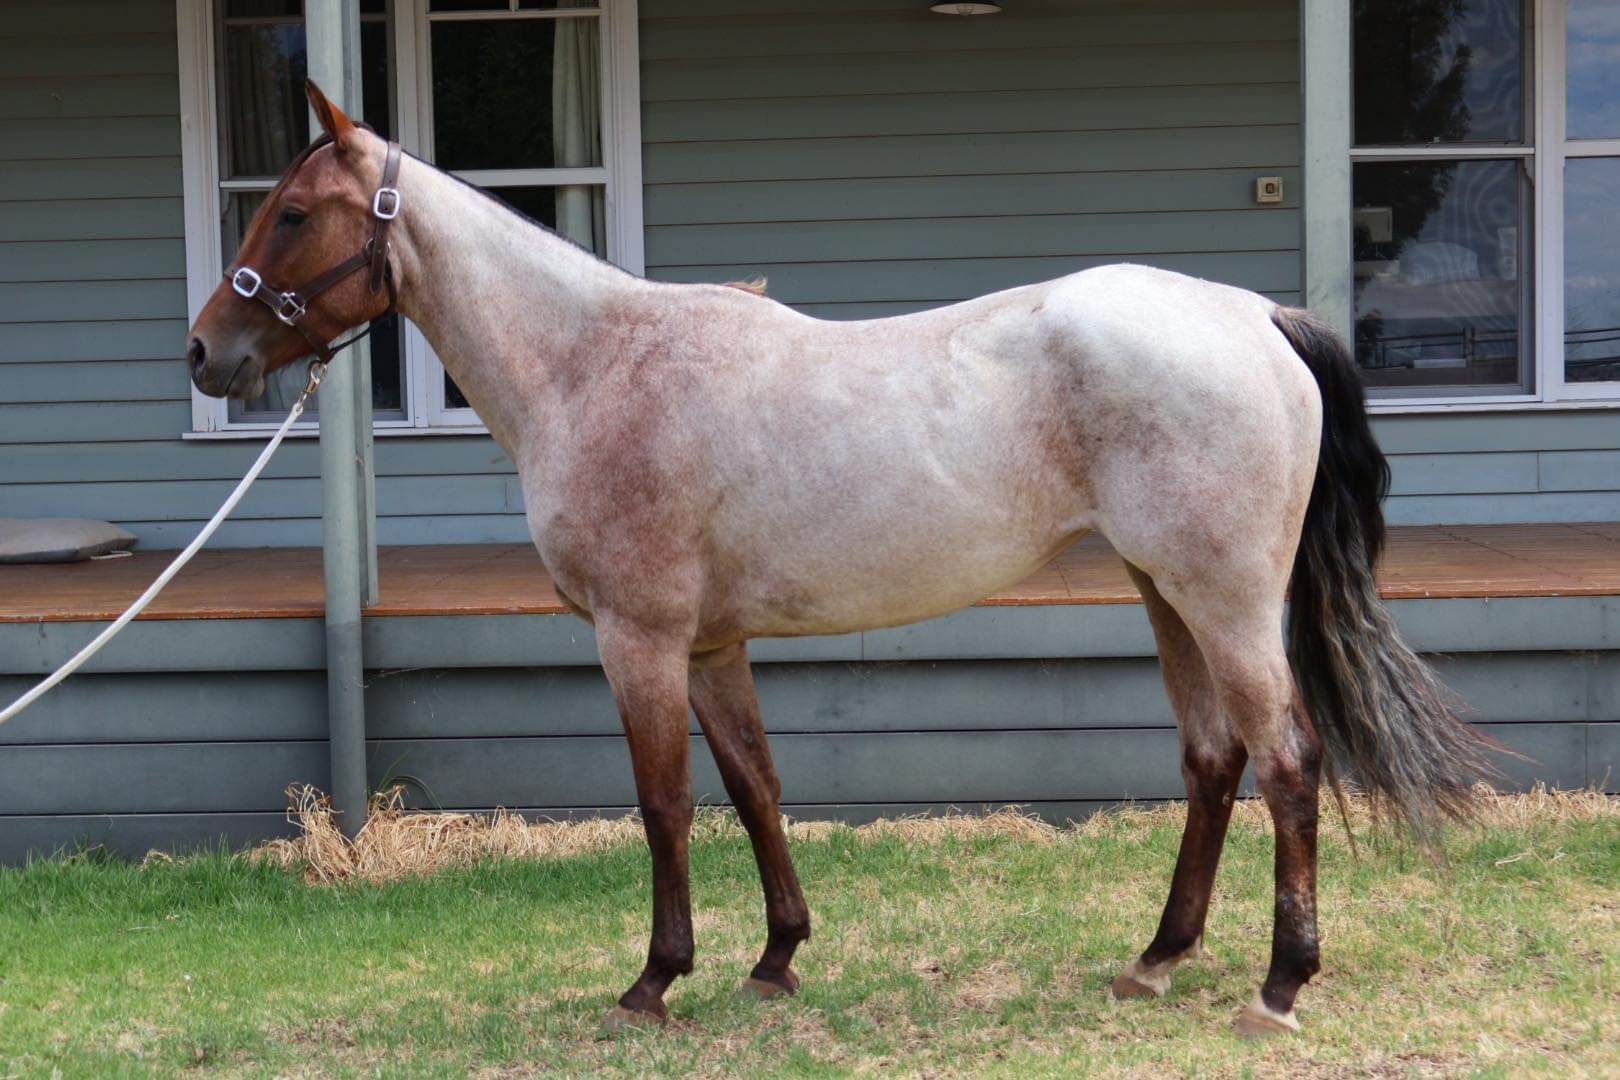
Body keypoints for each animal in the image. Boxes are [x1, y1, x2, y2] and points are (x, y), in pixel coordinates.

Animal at [185, 81, 1492, 1037]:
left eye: (291, 213)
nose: (207, 352)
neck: (596, 365)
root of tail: (1254, 315)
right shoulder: (712, 645)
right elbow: (756, 787)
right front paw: (776, 958)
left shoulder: (640, 639)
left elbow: (665, 803)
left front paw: (654, 981)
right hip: (1165, 591)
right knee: (1215, 761)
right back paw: (1157, 959)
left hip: (1224, 600)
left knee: (1287, 760)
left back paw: (1280, 985)